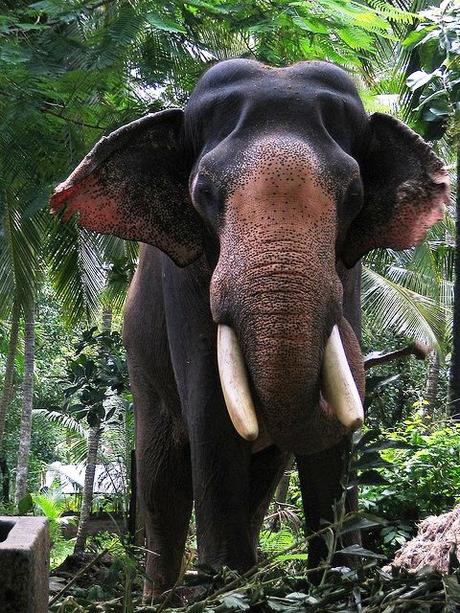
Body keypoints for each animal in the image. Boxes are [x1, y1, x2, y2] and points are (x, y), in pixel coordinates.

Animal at [51, 58, 450, 596]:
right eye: (203, 192)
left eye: (354, 194)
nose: (416, 350)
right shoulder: (185, 278)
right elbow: (211, 406)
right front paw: (223, 584)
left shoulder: (348, 274)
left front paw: (340, 577)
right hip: (141, 368)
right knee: (160, 476)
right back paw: (166, 594)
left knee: (262, 476)